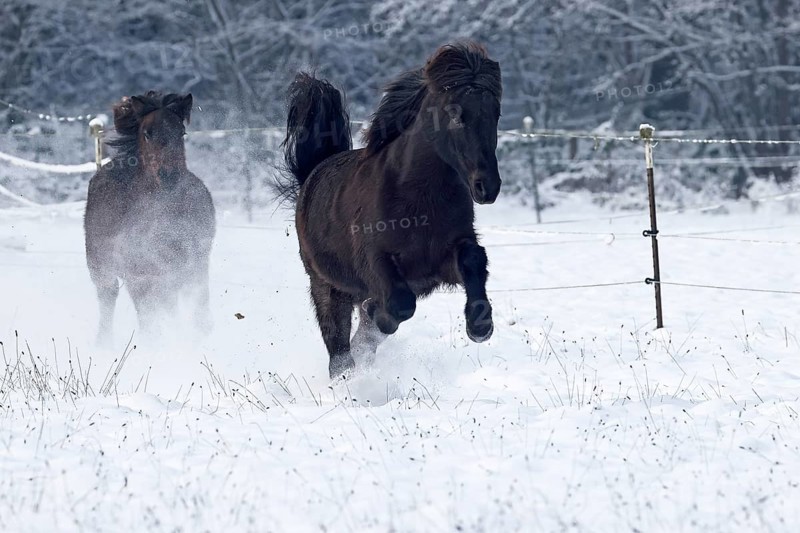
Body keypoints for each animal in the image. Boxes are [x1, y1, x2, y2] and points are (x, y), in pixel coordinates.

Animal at [84, 91, 216, 343]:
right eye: (146, 133)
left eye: (181, 132)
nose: (169, 175)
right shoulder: (141, 274)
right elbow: (149, 317)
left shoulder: (196, 264)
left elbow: (199, 310)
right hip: (103, 268)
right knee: (108, 300)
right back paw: (104, 344)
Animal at [277, 41, 503, 378]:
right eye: (454, 112)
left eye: (496, 113)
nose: (487, 186)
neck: (419, 199)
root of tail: (311, 175)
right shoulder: (377, 259)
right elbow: (399, 304)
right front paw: (377, 312)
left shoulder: (442, 259)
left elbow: (474, 259)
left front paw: (480, 325)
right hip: (328, 287)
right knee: (339, 350)